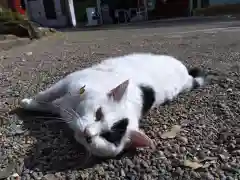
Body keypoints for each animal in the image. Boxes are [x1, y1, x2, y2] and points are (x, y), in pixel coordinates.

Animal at [19, 52, 205, 157]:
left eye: (107, 137)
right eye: (98, 114)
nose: (88, 134)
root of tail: (186, 73)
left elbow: (50, 105)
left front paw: (31, 105)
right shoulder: (69, 82)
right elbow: (46, 95)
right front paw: (27, 103)